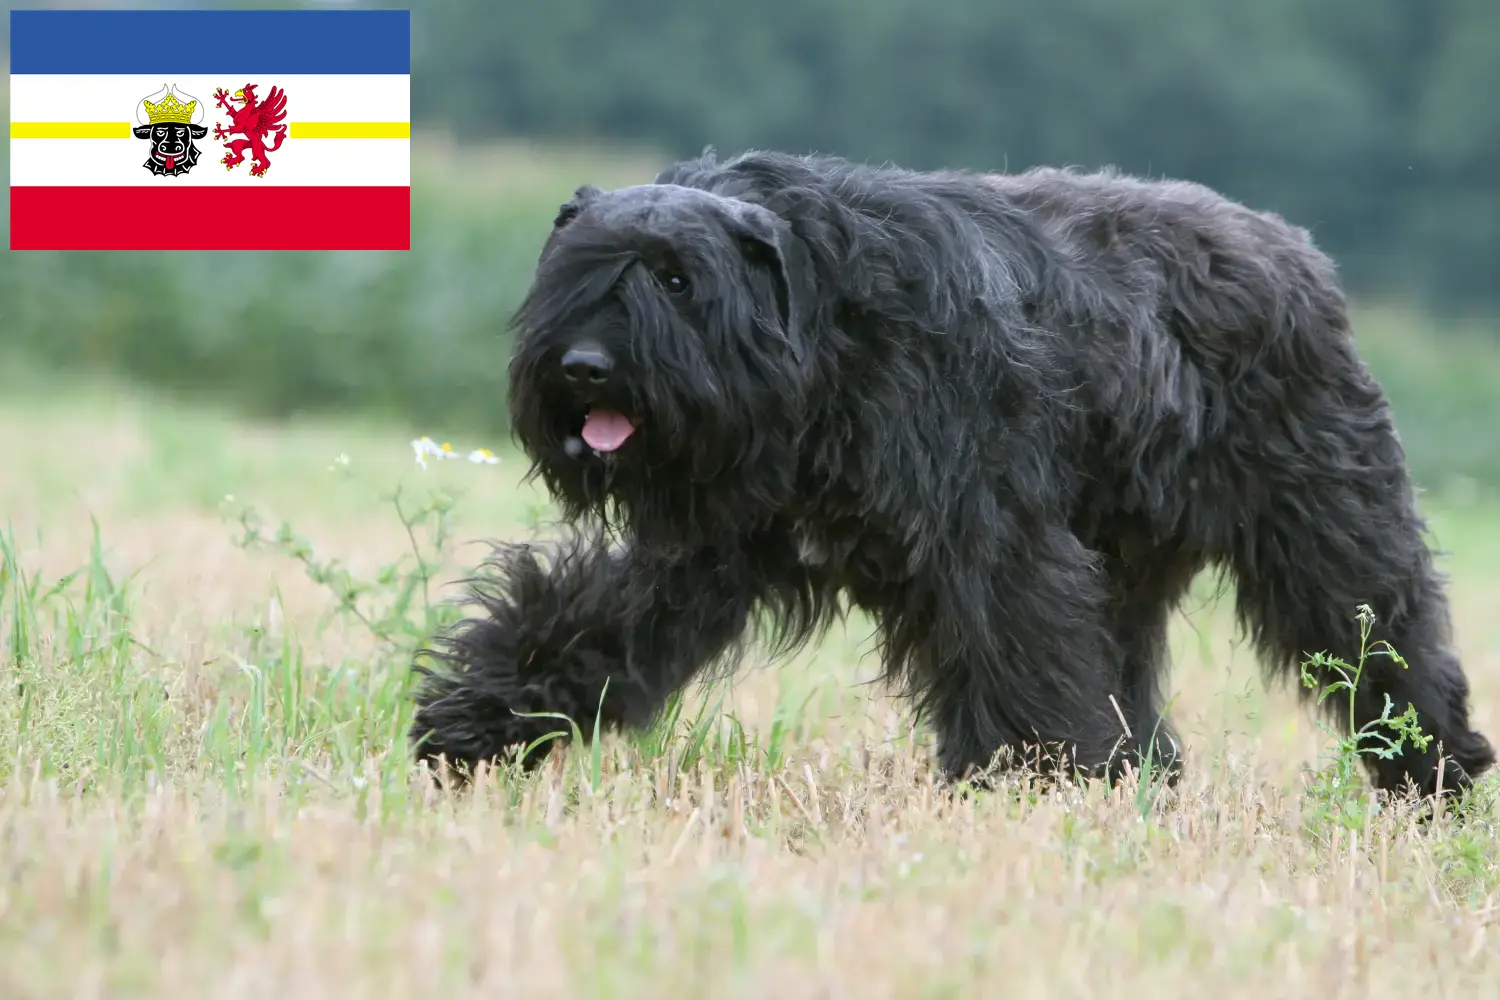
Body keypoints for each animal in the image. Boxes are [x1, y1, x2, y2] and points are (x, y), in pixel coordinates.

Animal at [405, 148, 1494, 803]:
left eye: (677, 280)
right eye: (577, 271)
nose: (585, 367)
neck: (826, 335)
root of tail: (1293, 250)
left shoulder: (991, 540)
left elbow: (1014, 649)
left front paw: (1035, 781)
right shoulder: (706, 539)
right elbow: (592, 613)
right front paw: (477, 719)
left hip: (1327, 528)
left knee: (1387, 637)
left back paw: (1434, 771)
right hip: (1128, 565)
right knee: (1130, 675)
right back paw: (1140, 778)